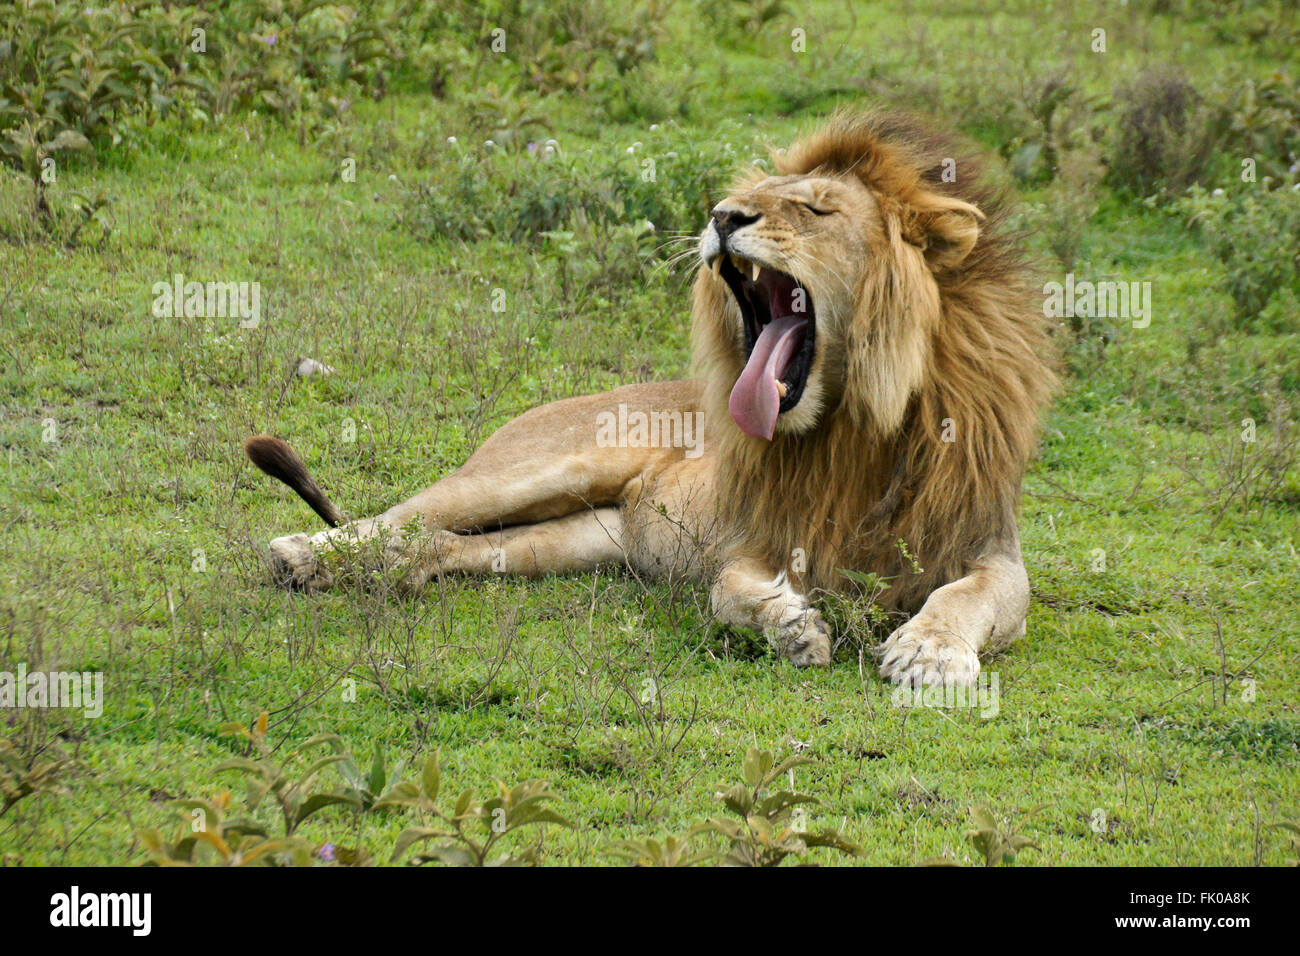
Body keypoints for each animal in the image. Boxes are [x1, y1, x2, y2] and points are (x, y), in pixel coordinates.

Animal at [245, 110, 1055, 686]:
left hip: (577, 540)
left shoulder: (989, 545)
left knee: (439, 546)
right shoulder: (755, 538)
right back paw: (301, 556)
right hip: (530, 470)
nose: (723, 215)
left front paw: (929, 652)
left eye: (816, 210)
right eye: (749, 201)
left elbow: (970, 596)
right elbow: (729, 590)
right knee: (399, 516)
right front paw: (790, 626)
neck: (854, 430)